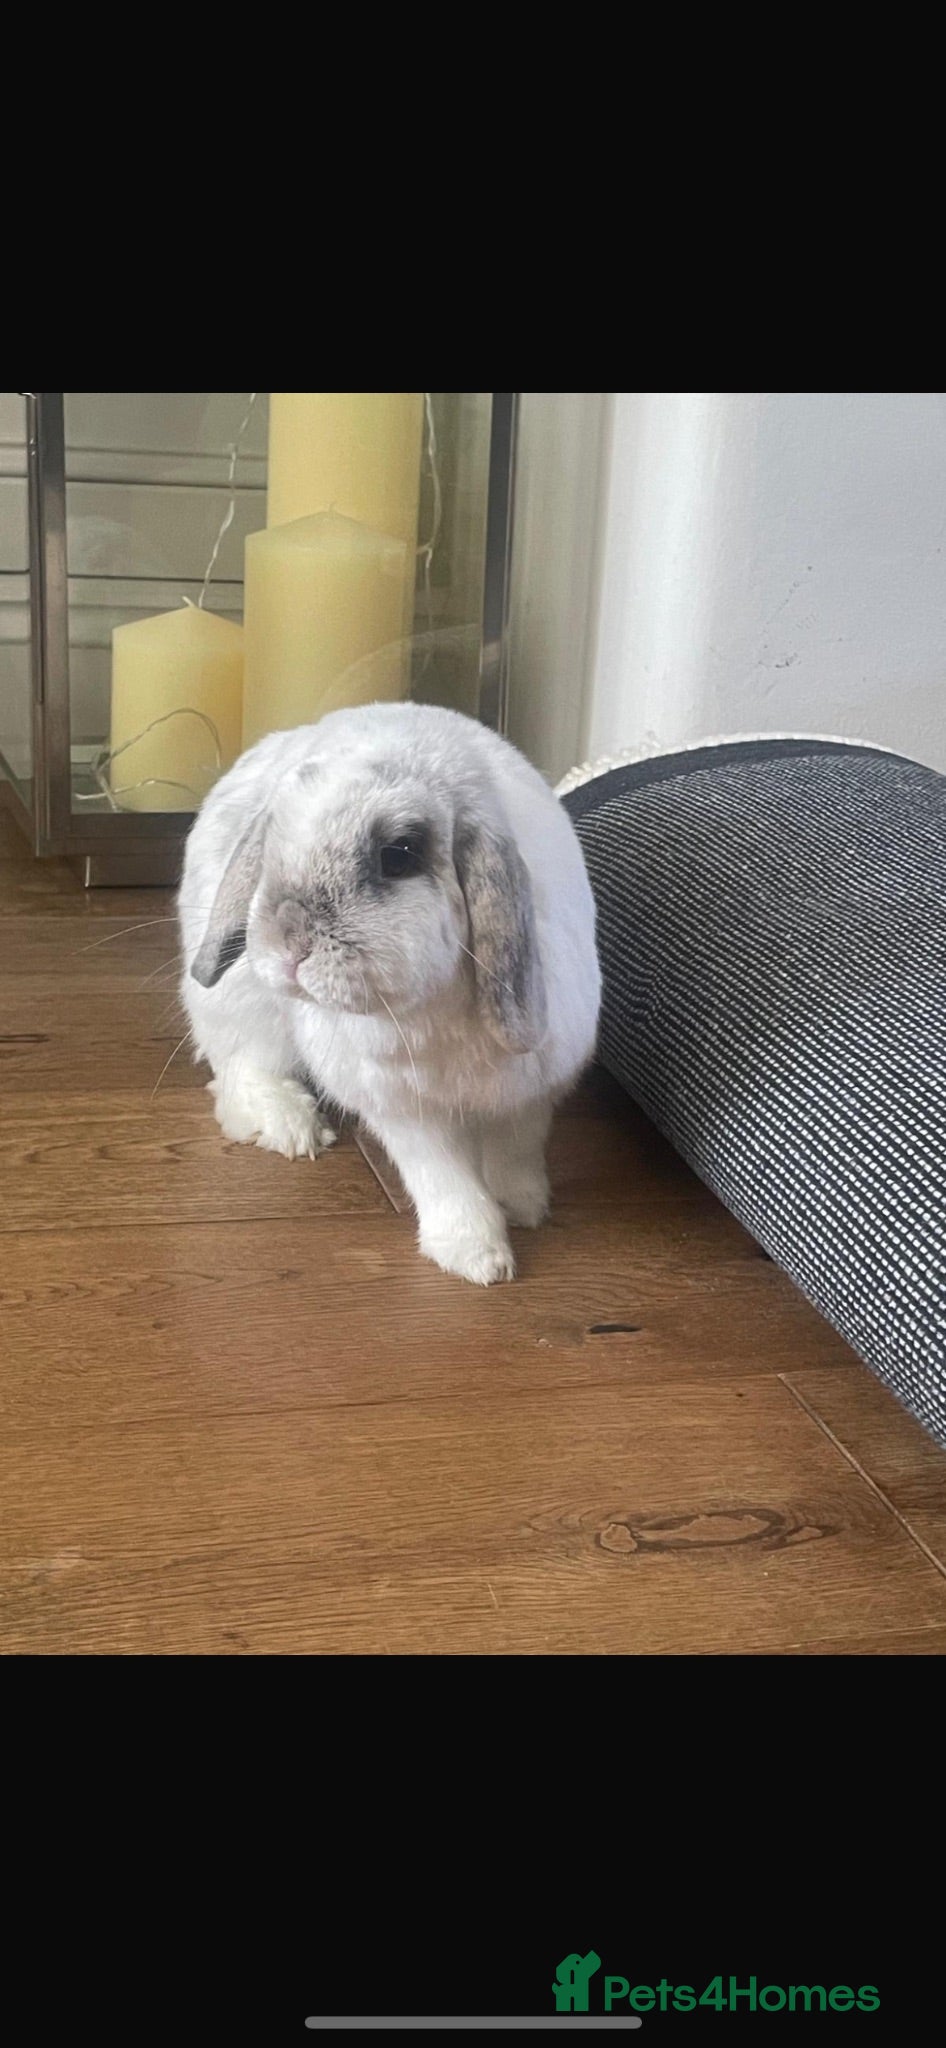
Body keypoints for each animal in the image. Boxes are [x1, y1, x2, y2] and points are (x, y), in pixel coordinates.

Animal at [178, 701, 601, 1284]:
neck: (430, 1010)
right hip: (243, 1010)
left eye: (398, 854)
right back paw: (292, 1129)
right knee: (242, 1071)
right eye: (271, 846)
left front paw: (524, 1207)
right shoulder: (401, 1106)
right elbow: (442, 1177)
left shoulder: (532, 1093)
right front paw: (479, 1258)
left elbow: (516, 1151)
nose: (288, 939)